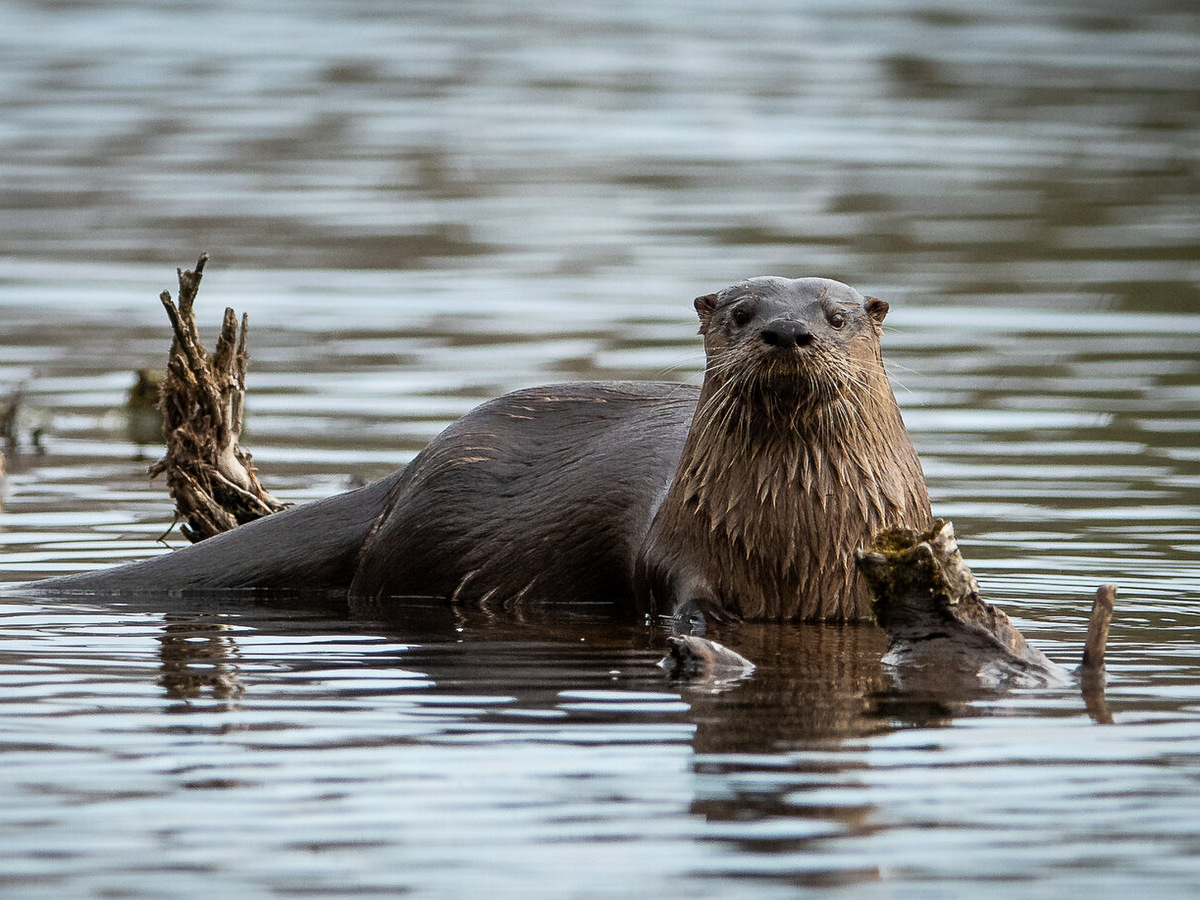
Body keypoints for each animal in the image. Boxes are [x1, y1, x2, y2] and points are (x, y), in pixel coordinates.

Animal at [37, 278, 931, 624]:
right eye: (744, 313)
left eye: (837, 314)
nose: (788, 331)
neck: (791, 540)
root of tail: (404, 476)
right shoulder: (679, 548)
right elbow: (678, 600)